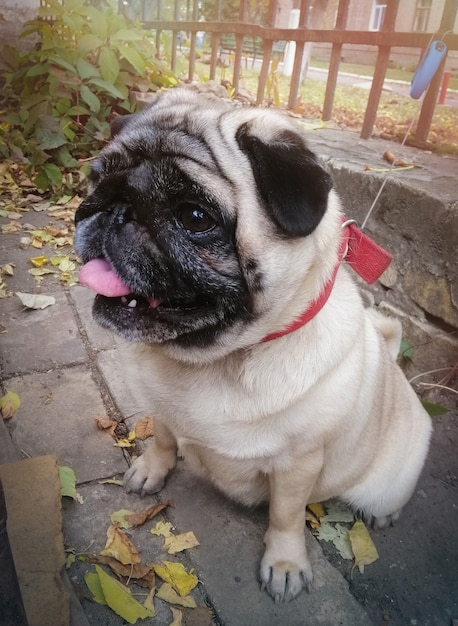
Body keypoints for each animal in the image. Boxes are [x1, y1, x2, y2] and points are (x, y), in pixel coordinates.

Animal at [73, 86, 432, 600]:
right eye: (96, 177)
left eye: (195, 216)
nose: (116, 208)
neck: (214, 358)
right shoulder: (162, 411)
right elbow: (163, 438)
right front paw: (152, 468)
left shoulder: (299, 465)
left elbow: (285, 515)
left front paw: (284, 563)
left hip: (385, 478)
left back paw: (383, 514)